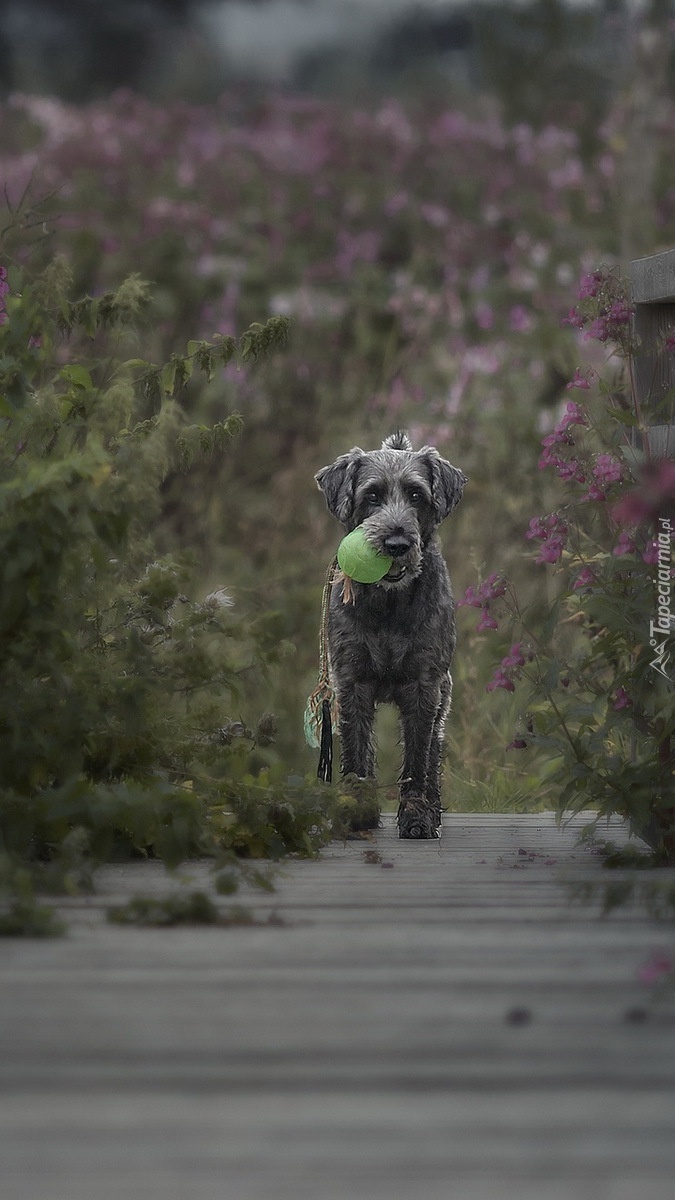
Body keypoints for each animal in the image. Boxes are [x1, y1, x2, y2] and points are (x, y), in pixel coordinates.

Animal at [317, 436, 468, 840]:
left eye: (416, 495)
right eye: (372, 496)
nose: (397, 543)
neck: (389, 603)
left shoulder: (424, 686)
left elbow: (417, 757)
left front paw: (417, 816)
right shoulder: (351, 682)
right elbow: (356, 751)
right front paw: (356, 812)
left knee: (432, 753)